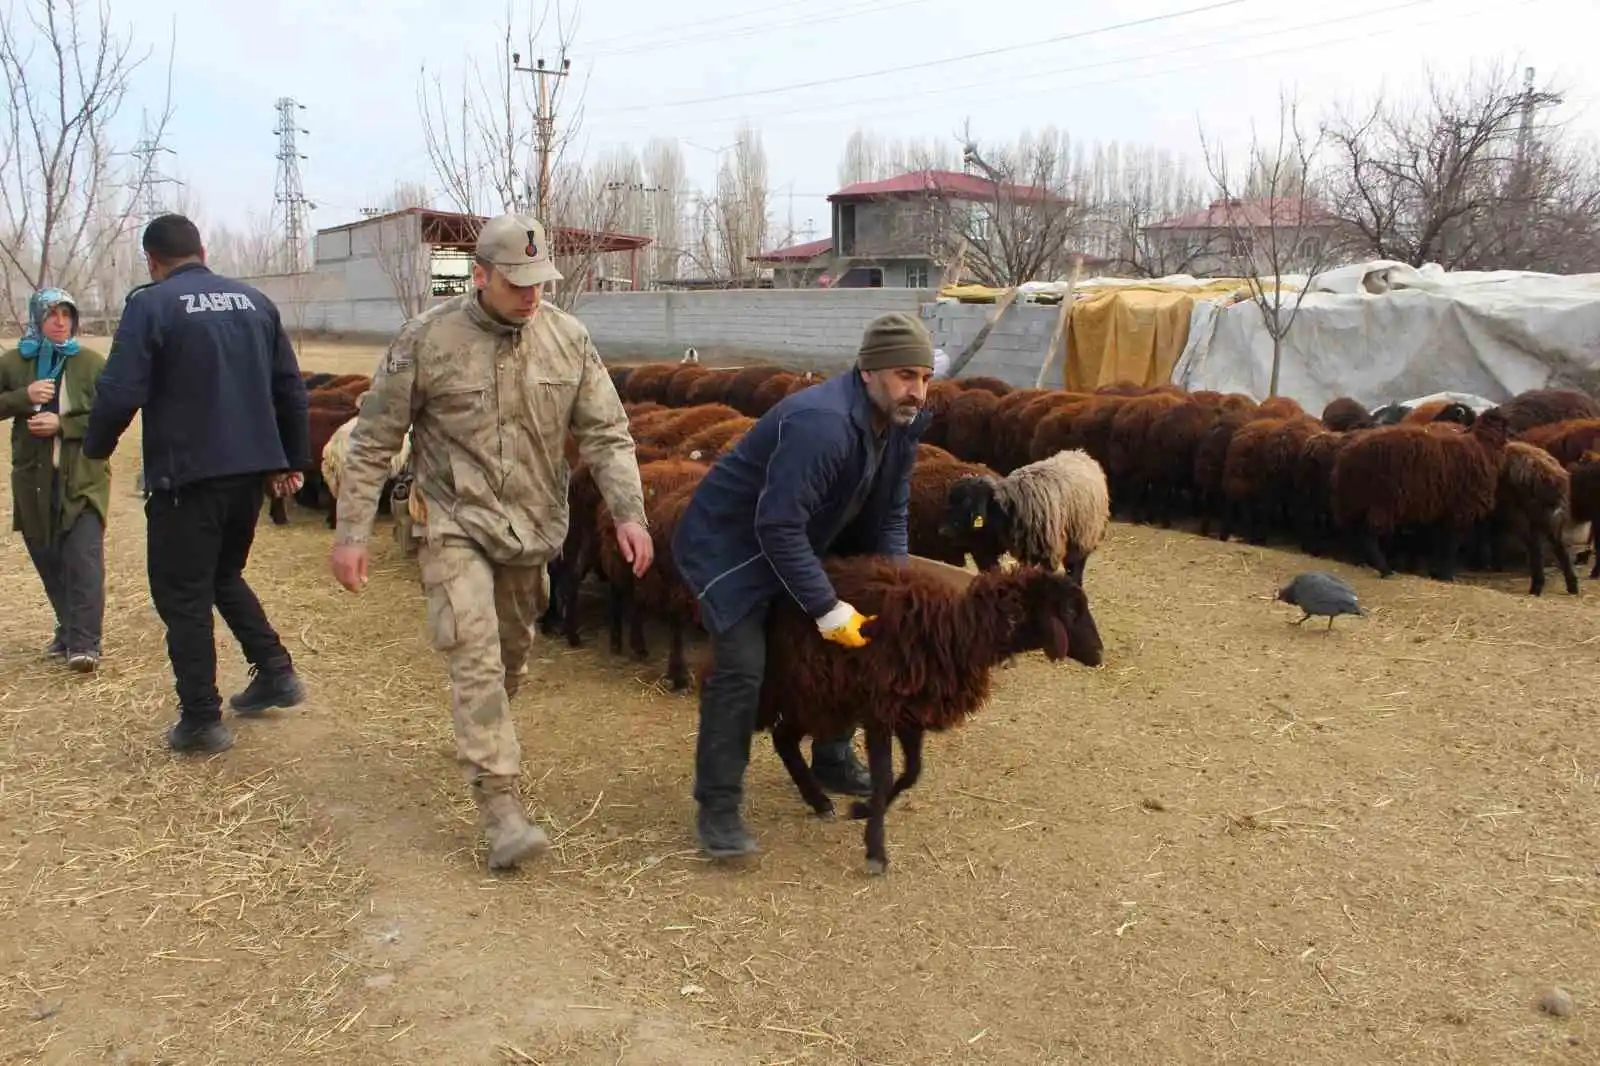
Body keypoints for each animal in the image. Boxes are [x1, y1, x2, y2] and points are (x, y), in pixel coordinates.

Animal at [934, 444, 1113, 585]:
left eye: (968, 503)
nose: (942, 531)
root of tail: (1080, 453)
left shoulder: (1048, 552)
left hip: (1084, 536)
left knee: (1075, 566)